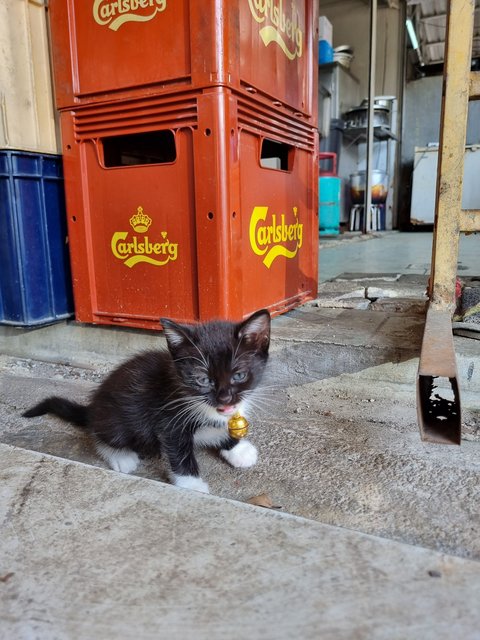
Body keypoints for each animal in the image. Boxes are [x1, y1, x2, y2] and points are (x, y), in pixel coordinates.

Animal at [23, 308, 270, 492]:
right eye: (202, 379)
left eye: (238, 375)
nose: (225, 398)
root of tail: (94, 406)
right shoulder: (169, 419)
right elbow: (178, 452)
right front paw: (191, 484)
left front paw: (238, 449)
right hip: (121, 419)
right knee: (101, 432)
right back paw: (120, 456)